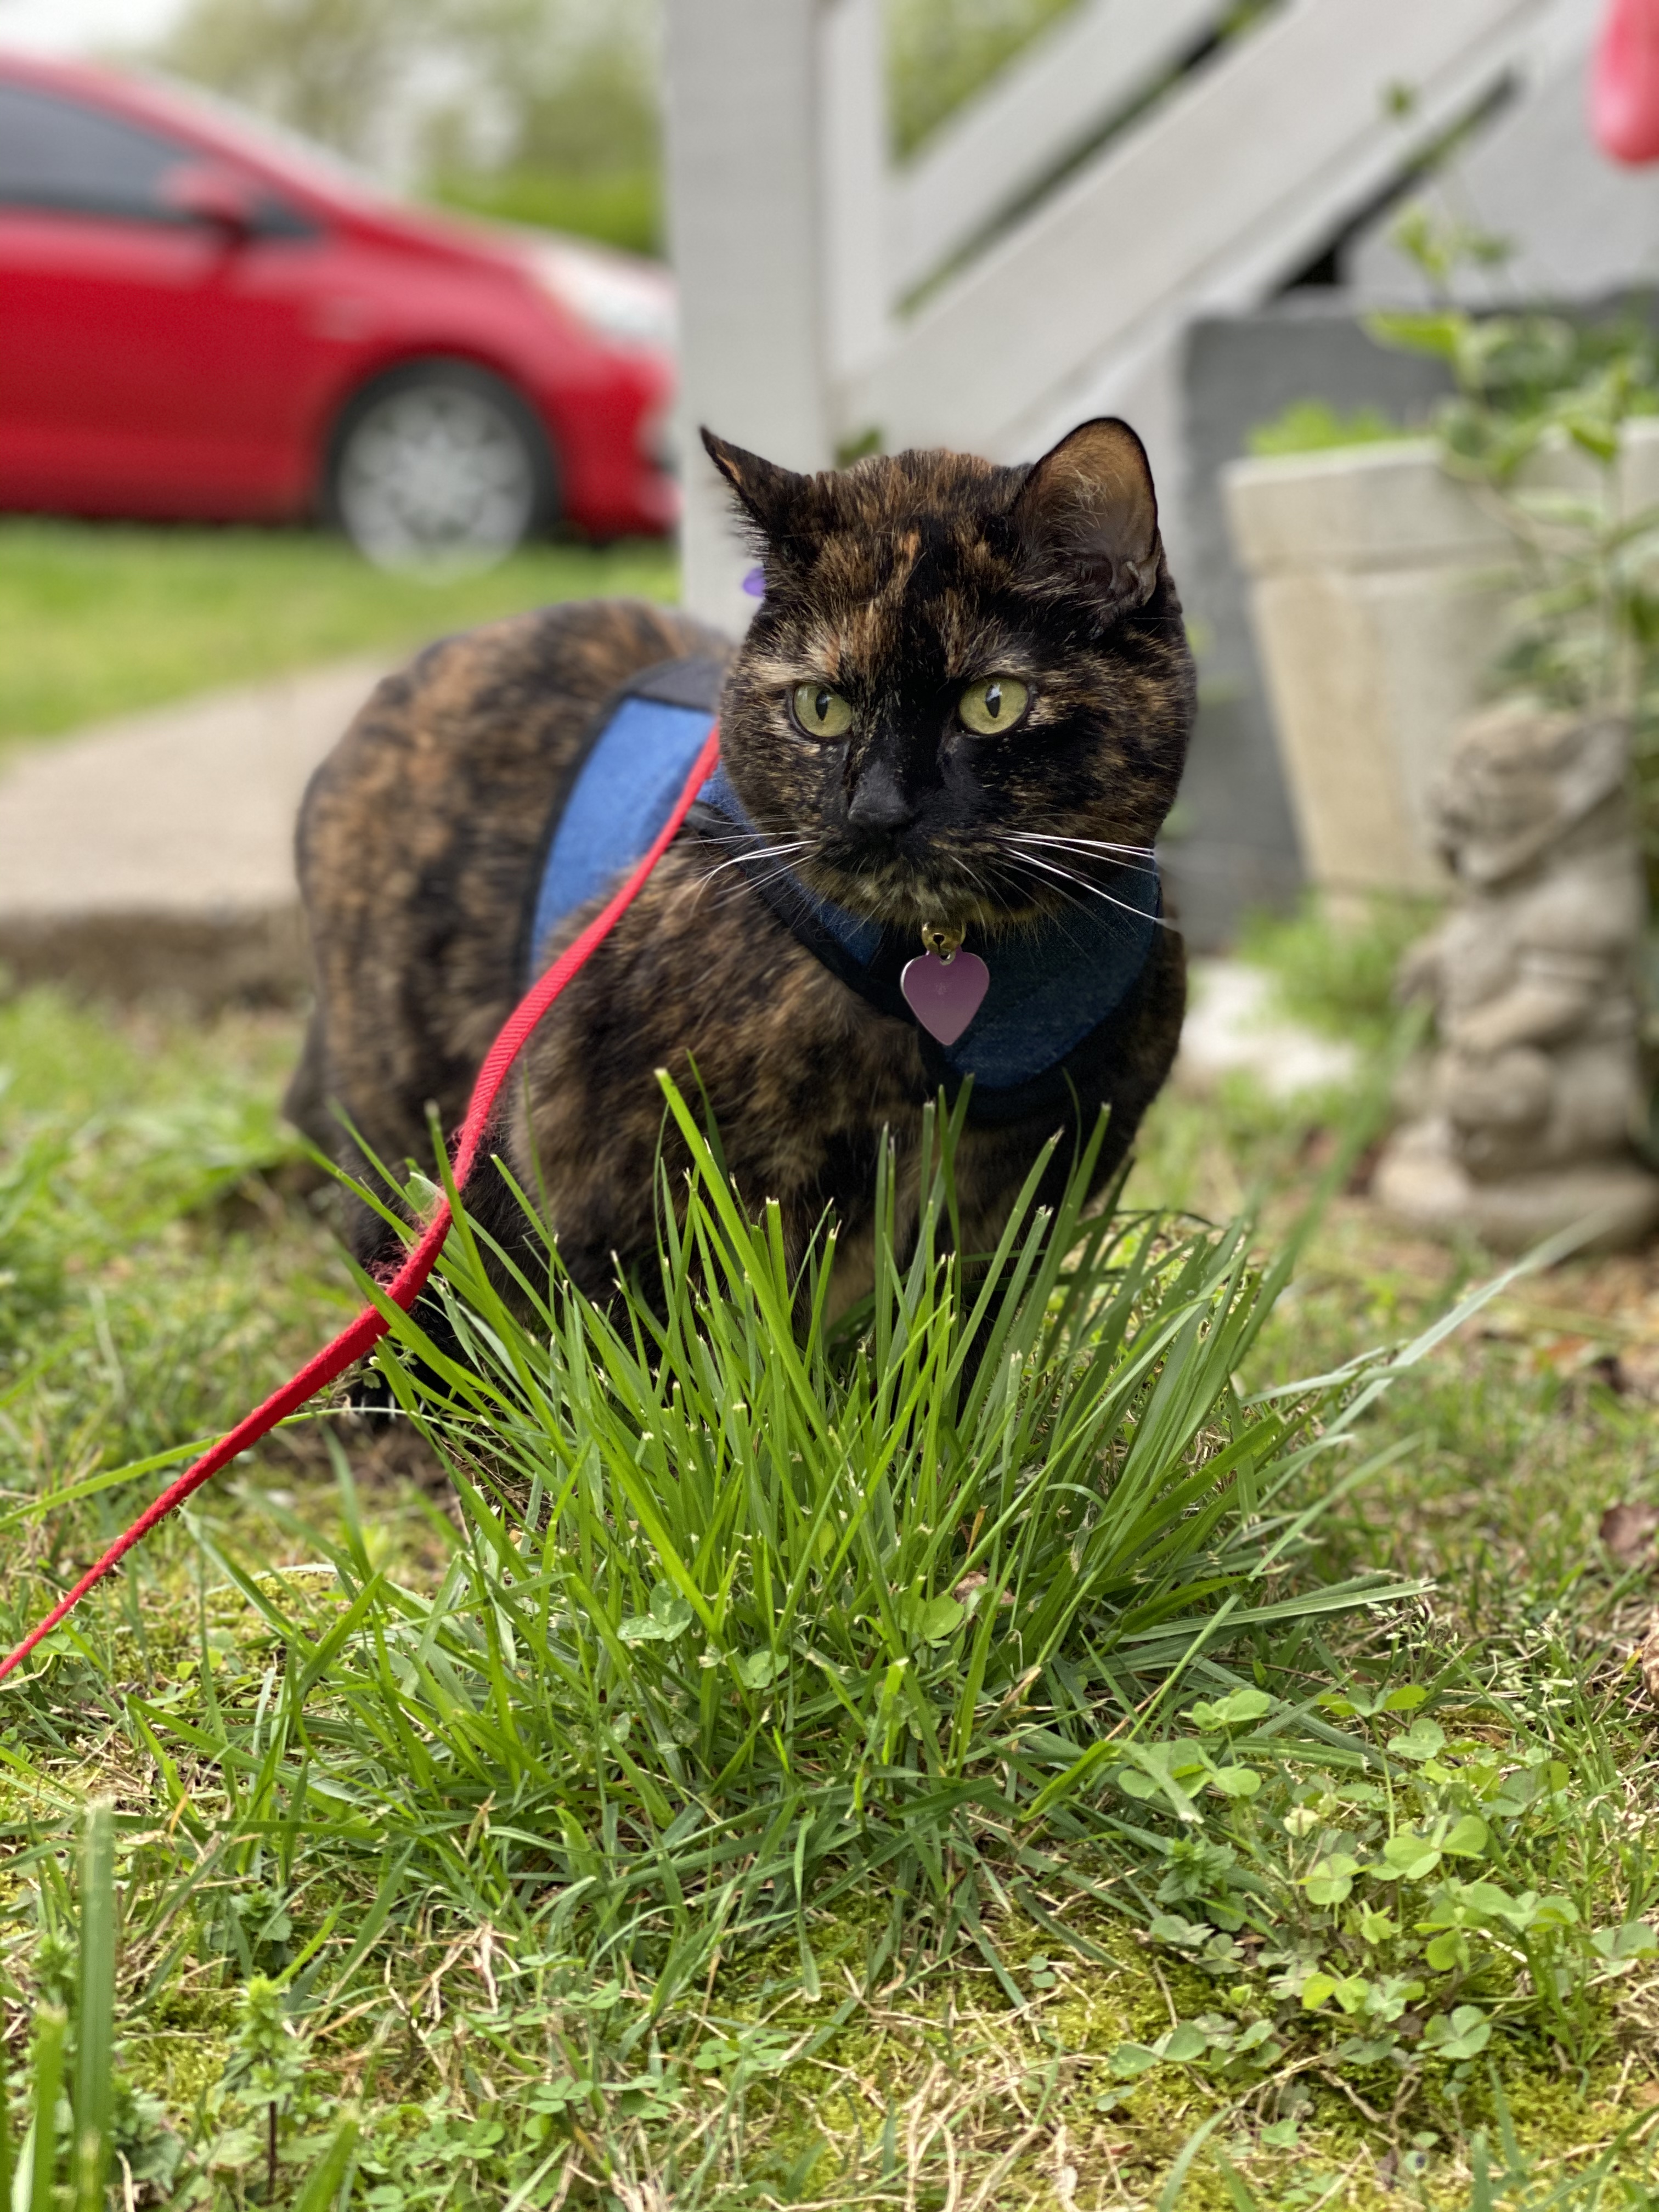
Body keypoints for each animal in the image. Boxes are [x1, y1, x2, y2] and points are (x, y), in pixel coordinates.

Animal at [286, 416, 1196, 1317]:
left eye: (993, 703)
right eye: (820, 708)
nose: (878, 810)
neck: (946, 972)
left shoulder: (1037, 1183)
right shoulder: (605, 1177)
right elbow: (674, 1341)